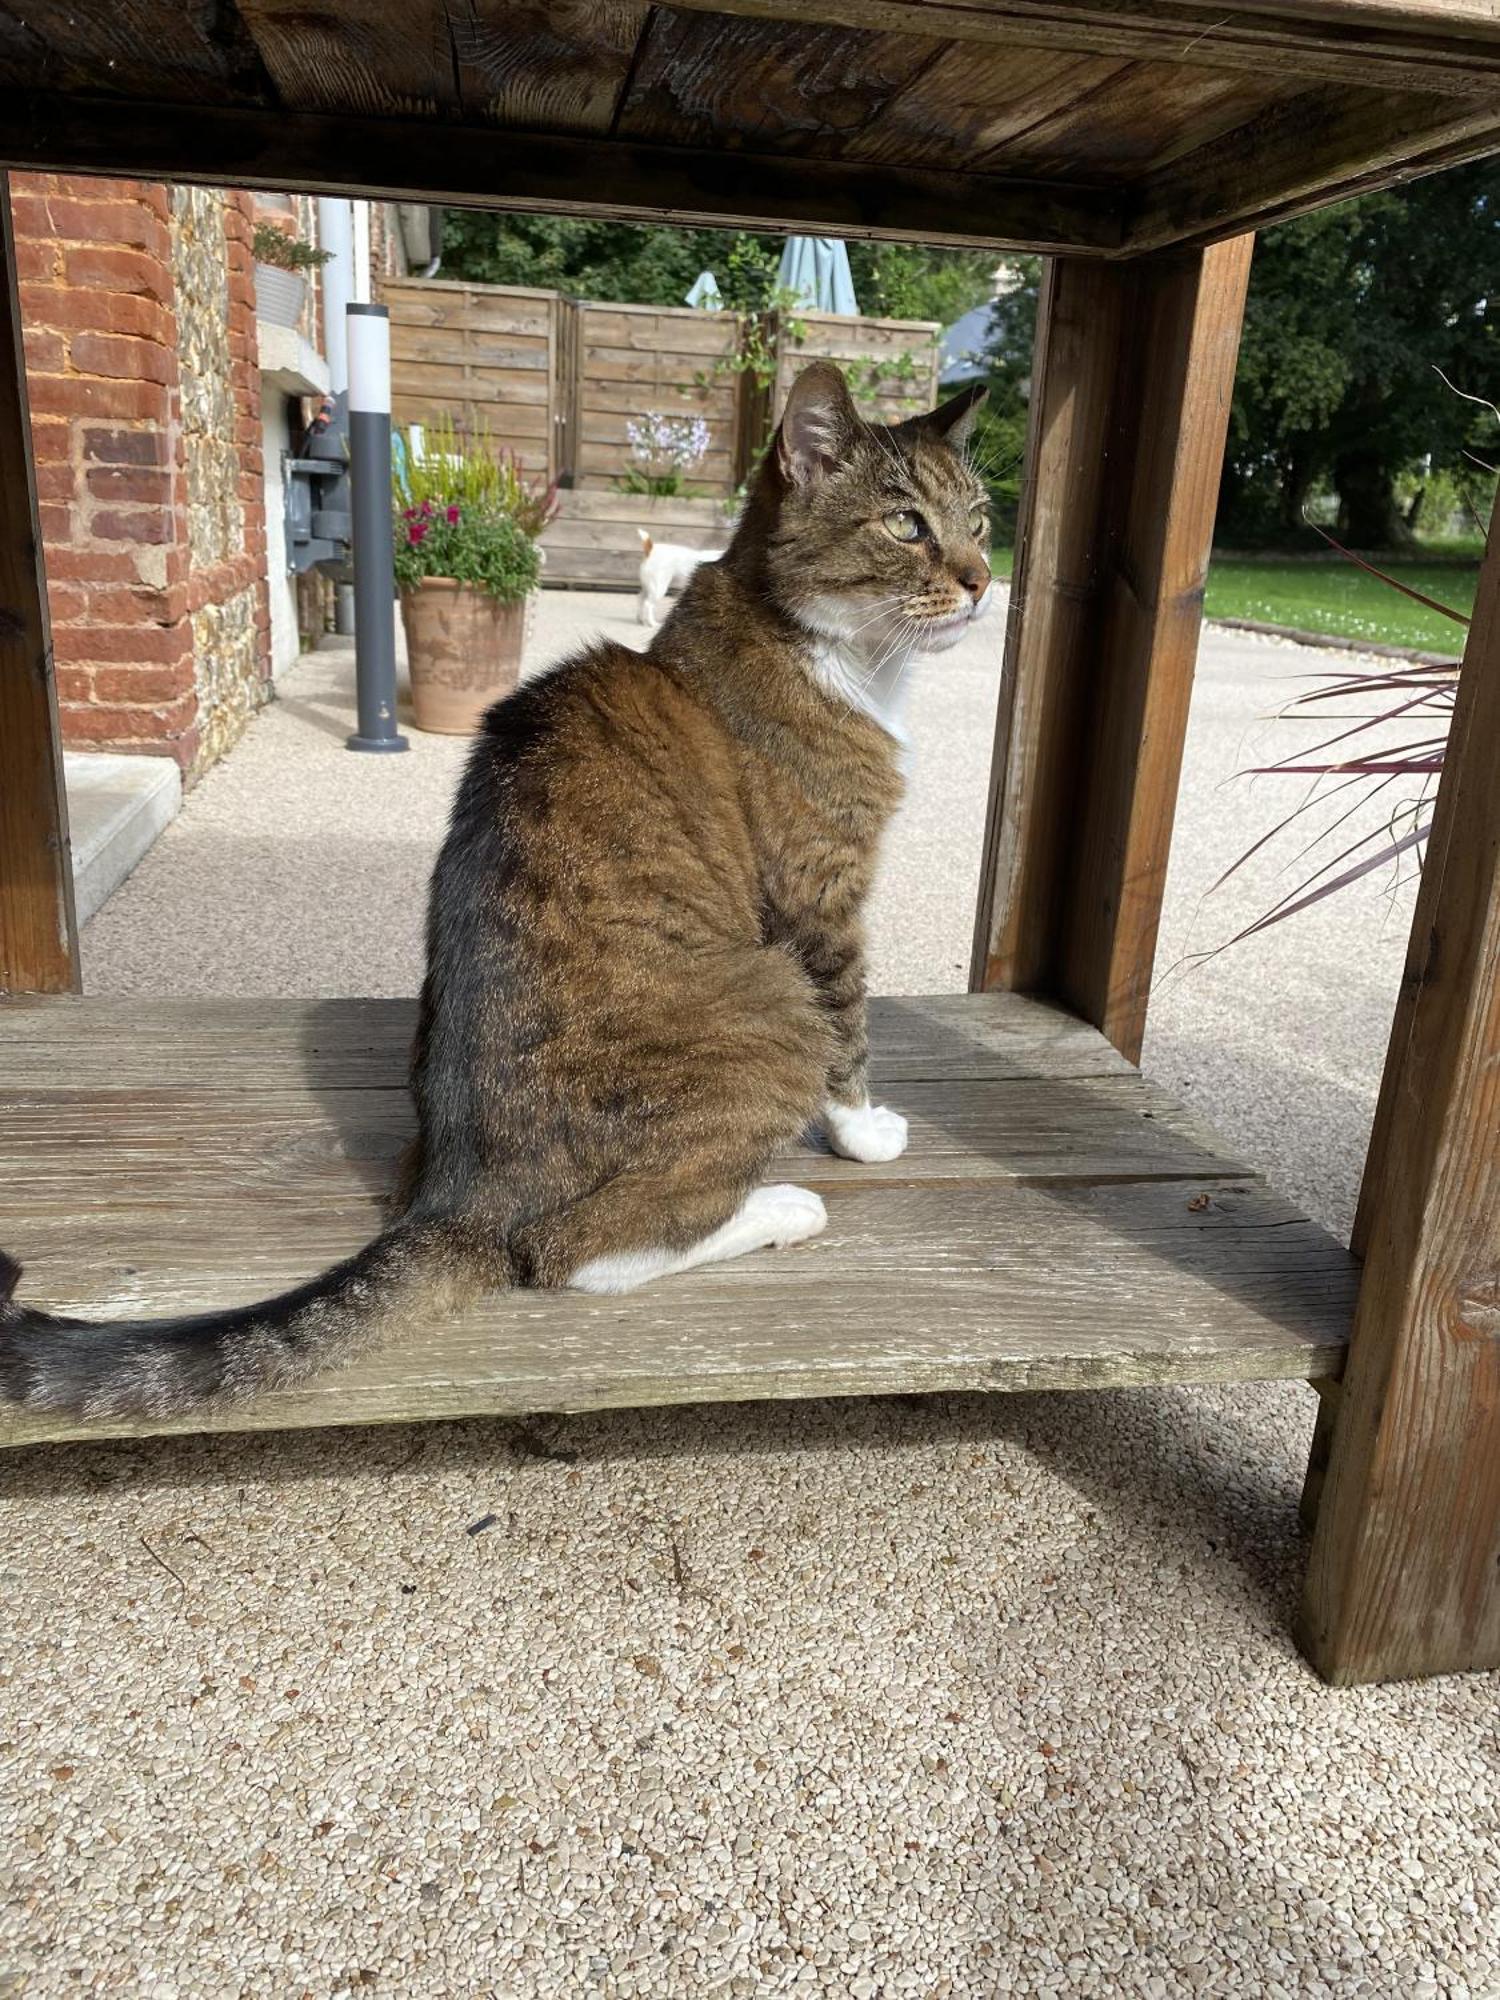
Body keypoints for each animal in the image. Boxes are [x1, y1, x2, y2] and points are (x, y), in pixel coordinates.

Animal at [0, 364, 992, 1424]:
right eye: (906, 525)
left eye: (978, 518)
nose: (983, 578)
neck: (828, 649)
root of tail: (461, 1199)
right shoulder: (820, 896)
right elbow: (852, 1027)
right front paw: (864, 1132)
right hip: (768, 997)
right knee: (572, 1252)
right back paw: (782, 1206)